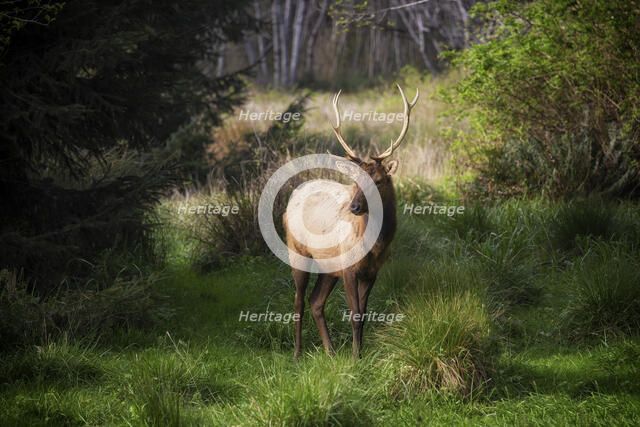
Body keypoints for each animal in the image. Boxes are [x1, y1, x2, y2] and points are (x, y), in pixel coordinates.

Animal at [283, 84, 419, 359]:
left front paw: (360, 352)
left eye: (379, 180)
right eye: (355, 181)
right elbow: (354, 314)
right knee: (299, 301)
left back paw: (330, 351)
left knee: (316, 301)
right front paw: (356, 358)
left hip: (328, 265)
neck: (375, 244)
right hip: (296, 250)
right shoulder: (348, 267)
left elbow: (364, 315)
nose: (353, 207)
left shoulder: (372, 271)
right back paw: (297, 353)